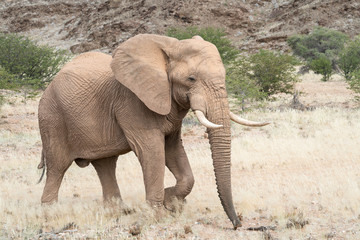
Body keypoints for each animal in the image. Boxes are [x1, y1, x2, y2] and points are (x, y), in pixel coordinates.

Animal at [38, 33, 268, 229]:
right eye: (191, 79)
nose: (237, 224)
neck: (170, 47)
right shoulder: (132, 102)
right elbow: (152, 151)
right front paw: (157, 216)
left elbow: (173, 150)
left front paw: (171, 204)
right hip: (51, 119)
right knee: (58, 167)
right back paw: (52, 217)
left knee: (106, 164)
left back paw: (117, 213)